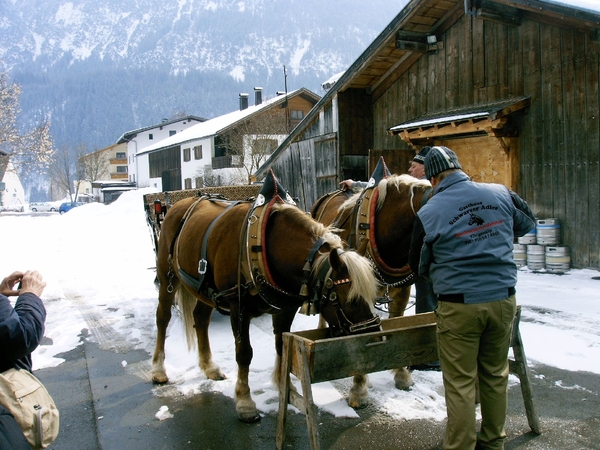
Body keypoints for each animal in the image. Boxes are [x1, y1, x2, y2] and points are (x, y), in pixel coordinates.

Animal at [150, 178, 380, 422]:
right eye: (350, 300)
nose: (373, 336)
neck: (264, 246)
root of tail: (179, 202)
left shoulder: (284, 309)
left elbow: (282, 345)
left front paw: (285, 388)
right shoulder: (238, 308)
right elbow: (244, 354)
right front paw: (245, 402)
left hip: (202, 289)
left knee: (200, 319)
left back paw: (209, 367)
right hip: (167, 278)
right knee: (163, 318)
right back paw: (158, 369)